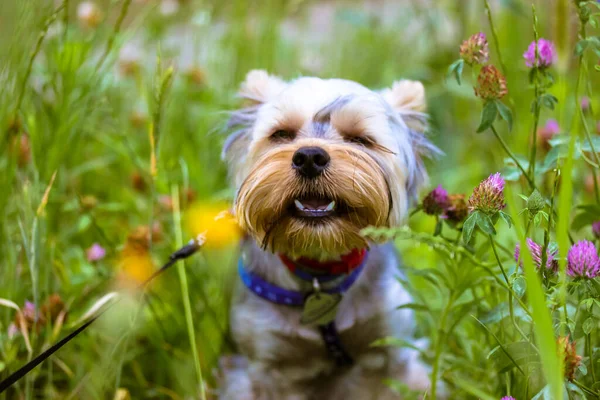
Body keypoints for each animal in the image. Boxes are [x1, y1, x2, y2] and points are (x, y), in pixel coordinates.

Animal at [218, 70, 438, 398]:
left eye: (360, 139)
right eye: (281, 134)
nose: (309, 156)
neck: (320, 264)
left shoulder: (386, 350)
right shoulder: (268, 364)